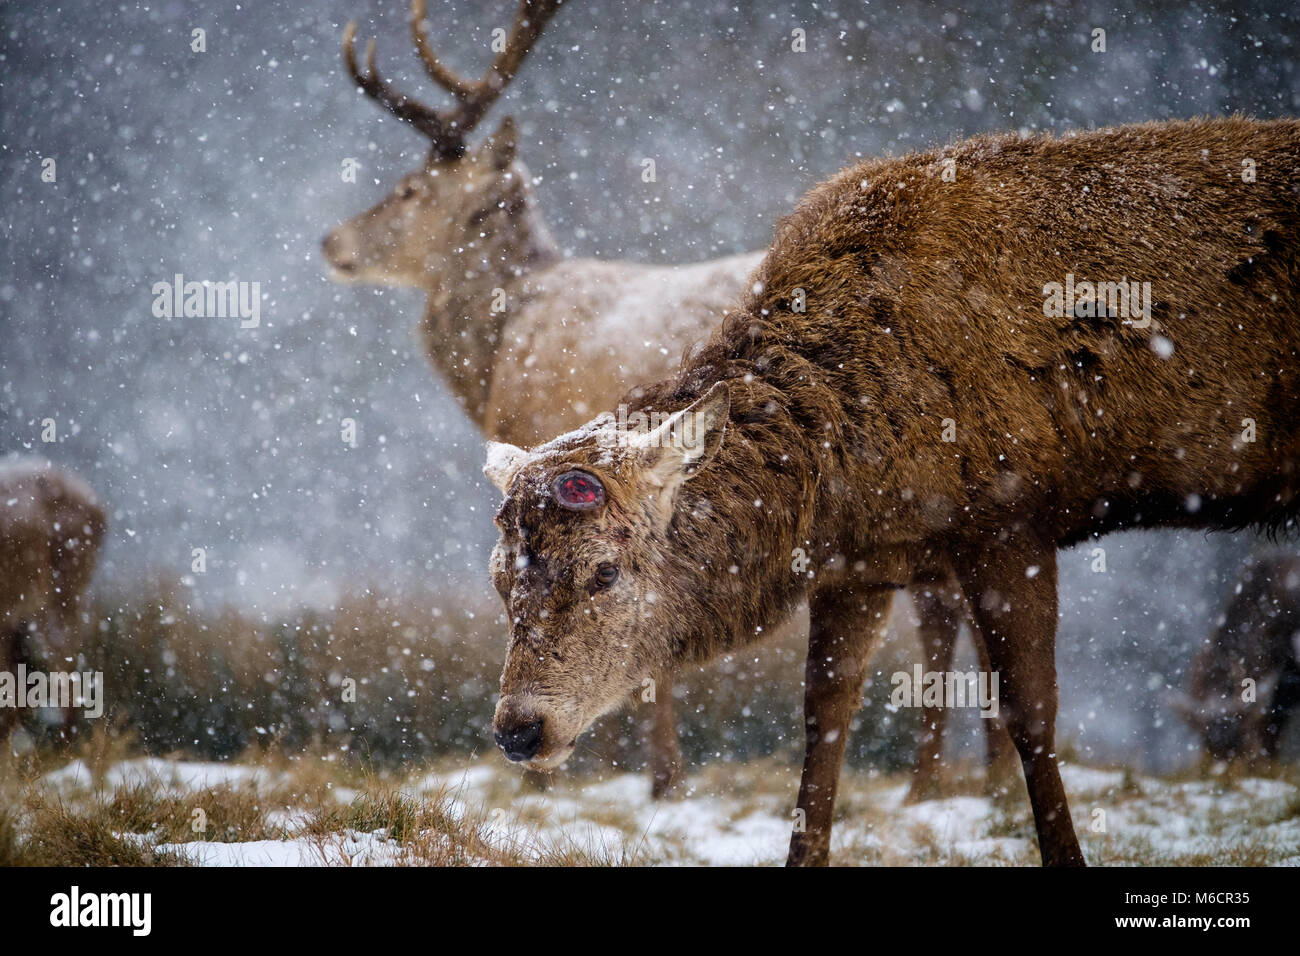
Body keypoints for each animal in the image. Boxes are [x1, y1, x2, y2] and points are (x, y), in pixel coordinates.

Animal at [321, 0, 1008, 801]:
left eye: (409, 189)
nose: (332, 241)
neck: (502, 345)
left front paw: (649, 776)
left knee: (947, 604)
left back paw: (942, 781)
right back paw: (984, 779)